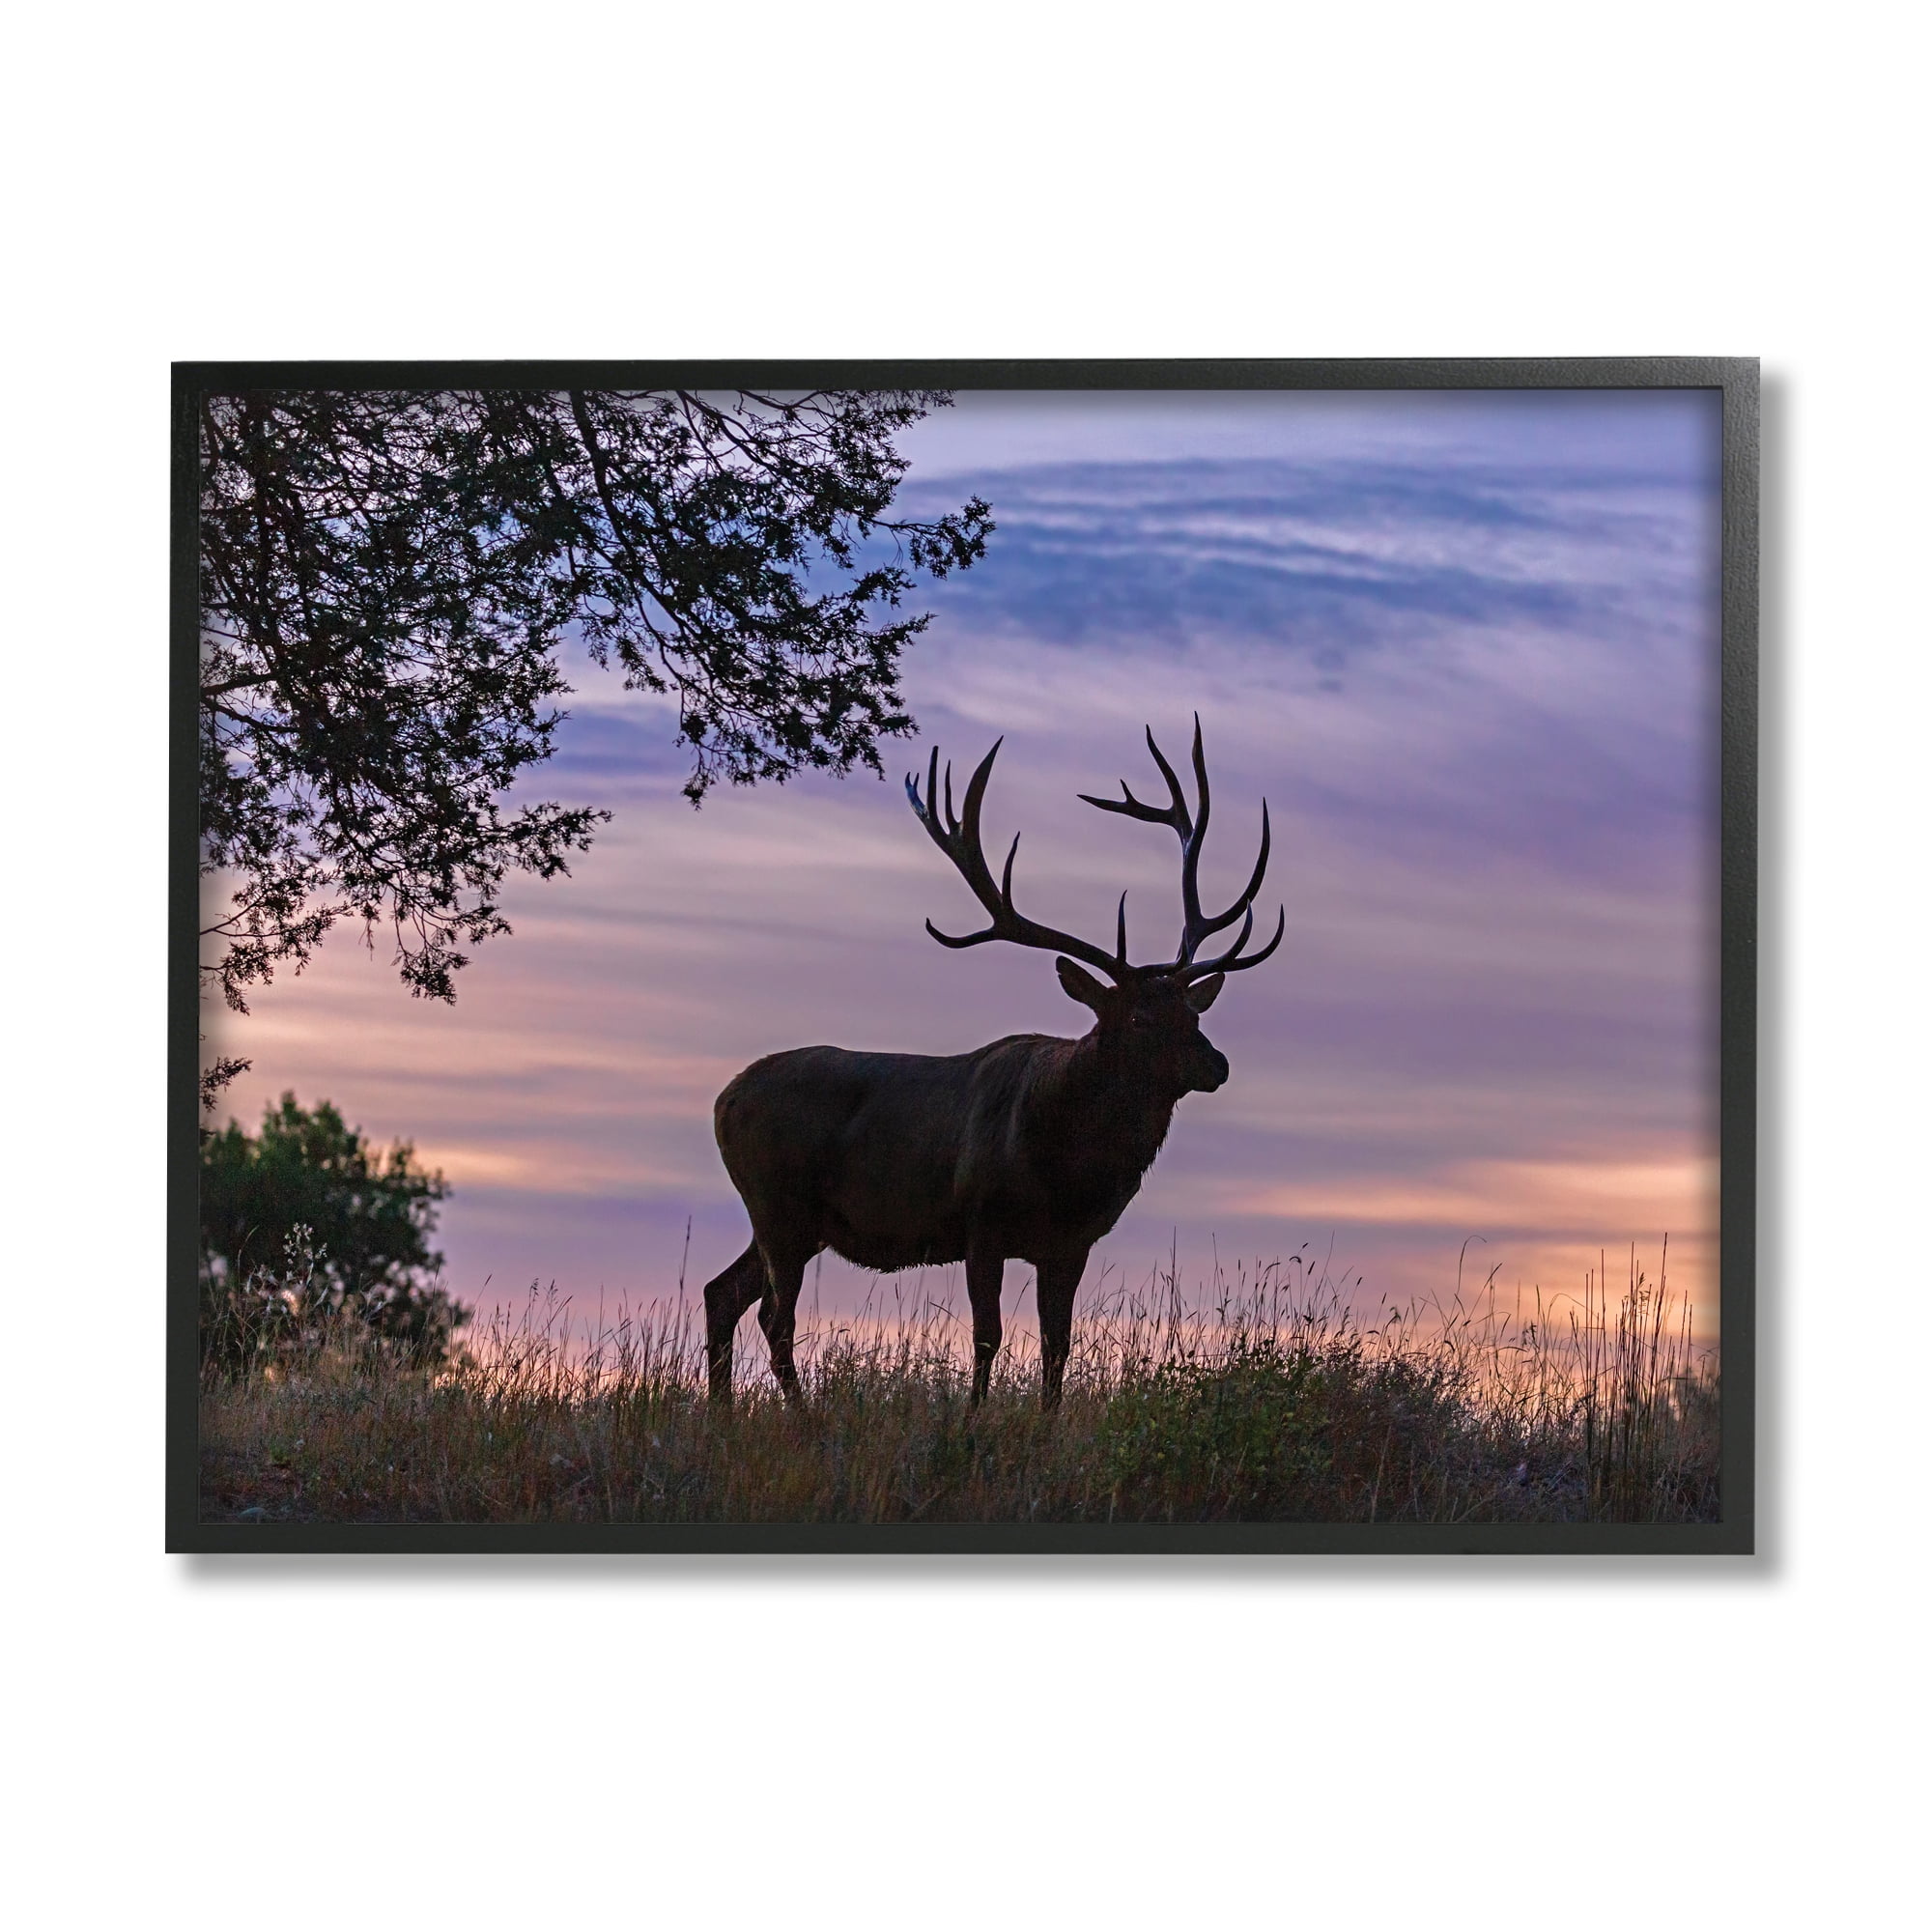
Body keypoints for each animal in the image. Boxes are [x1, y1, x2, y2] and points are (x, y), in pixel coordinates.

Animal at [701, 718, 1283, 1411]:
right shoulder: (980, 1223)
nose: (1217, 1065)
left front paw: (1047, 1424)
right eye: (1141, 1019)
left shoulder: (1071, 1243)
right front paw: (973, 1421)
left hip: (793, 1219)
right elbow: (987, 1335)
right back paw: (802, 1416)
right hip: (776, 1203)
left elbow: (1058, 1344)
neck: (1069, 1168)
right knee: (774, 1315)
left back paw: (723, 1412)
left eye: (1193, 1014)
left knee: (722, 1292)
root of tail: (722, 1099)